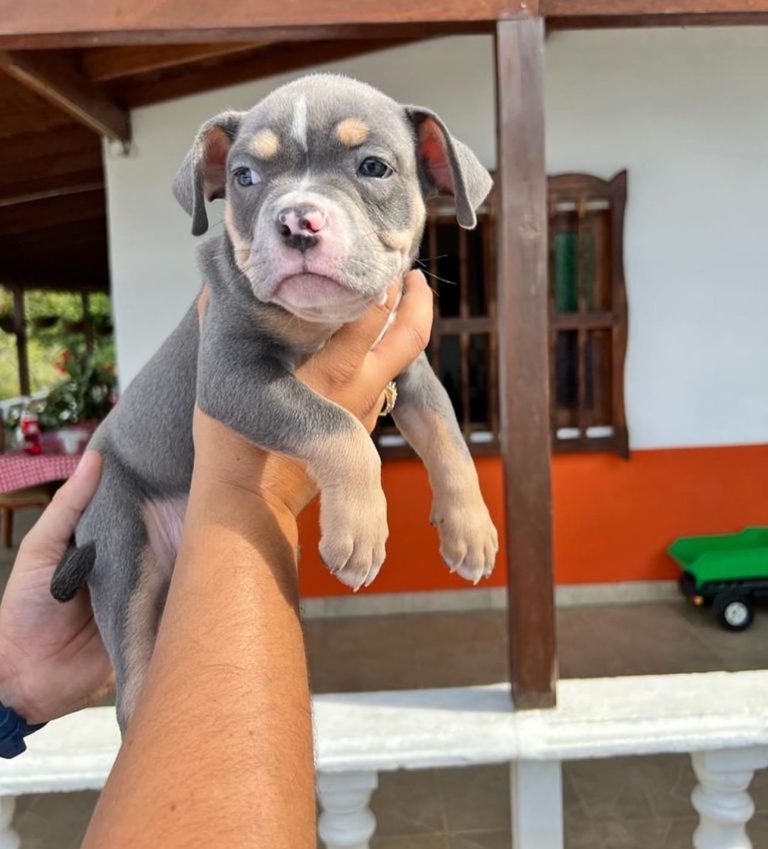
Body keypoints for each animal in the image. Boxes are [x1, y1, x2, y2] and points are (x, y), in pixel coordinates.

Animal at [52, 74, 498, 728]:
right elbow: (337, 426)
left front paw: (471, 529)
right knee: (131, 685)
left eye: (374, 167)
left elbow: (450, 440)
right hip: (119, 546)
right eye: (243, 177)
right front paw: (359, 527)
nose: (297, 221)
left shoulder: (413, 371)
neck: (322, 322)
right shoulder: (233, 375)